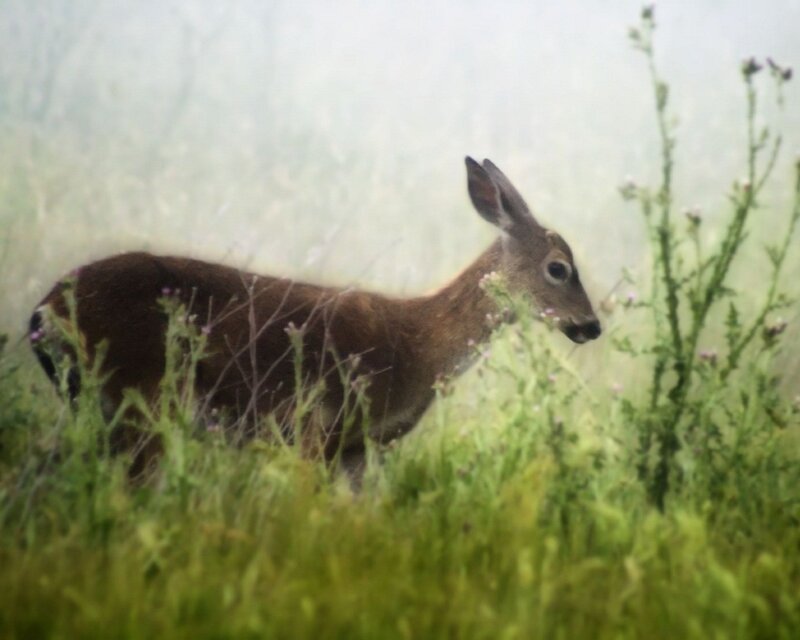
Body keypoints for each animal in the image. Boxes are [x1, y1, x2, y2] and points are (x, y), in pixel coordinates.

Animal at [29, 157, 601, 479]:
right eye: (559, 267)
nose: (591, 325)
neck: (420, 346)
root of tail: (42, 312)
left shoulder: (360, 451)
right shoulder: (316, 430)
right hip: (141, 399)